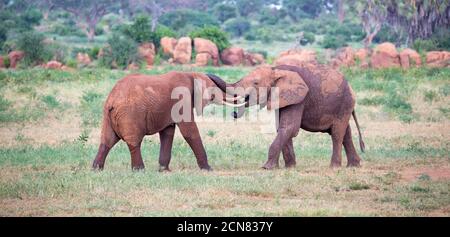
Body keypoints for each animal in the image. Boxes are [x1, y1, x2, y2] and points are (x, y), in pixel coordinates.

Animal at [92, 71, 244, 171]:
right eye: (213, 93)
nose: (234, 114)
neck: (191, 74)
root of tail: (112, 100)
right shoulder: (182, 100)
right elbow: (189, 131)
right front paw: (208, 169)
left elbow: (167, 133)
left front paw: (164, 170)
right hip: (129, 114)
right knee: (133, 142)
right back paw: (139, 170)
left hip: (108, 115)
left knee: (107, 141)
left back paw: (96, 169)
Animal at [207, 64, 366, 168]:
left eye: (256, 83)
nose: (233, 114)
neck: (276, 70)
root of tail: (351, 87)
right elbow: (282, 128)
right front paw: (289, 167)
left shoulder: (299, 98)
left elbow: (290, 127)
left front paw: (266, 168)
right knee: (345, 132)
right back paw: (354, 166)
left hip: (344, 103)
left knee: (337, 133)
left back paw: (335, 167)